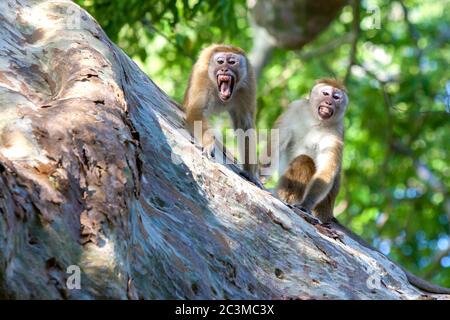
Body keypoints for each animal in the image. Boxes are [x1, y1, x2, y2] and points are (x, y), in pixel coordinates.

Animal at [183, 43, 258, 181]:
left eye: (232, 62)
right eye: (220, 62)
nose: (224, 70)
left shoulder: (248, 83)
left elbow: (245, 125)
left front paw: (249, 171)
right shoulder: (203, 74)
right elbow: (196, 112)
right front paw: (208, 143)